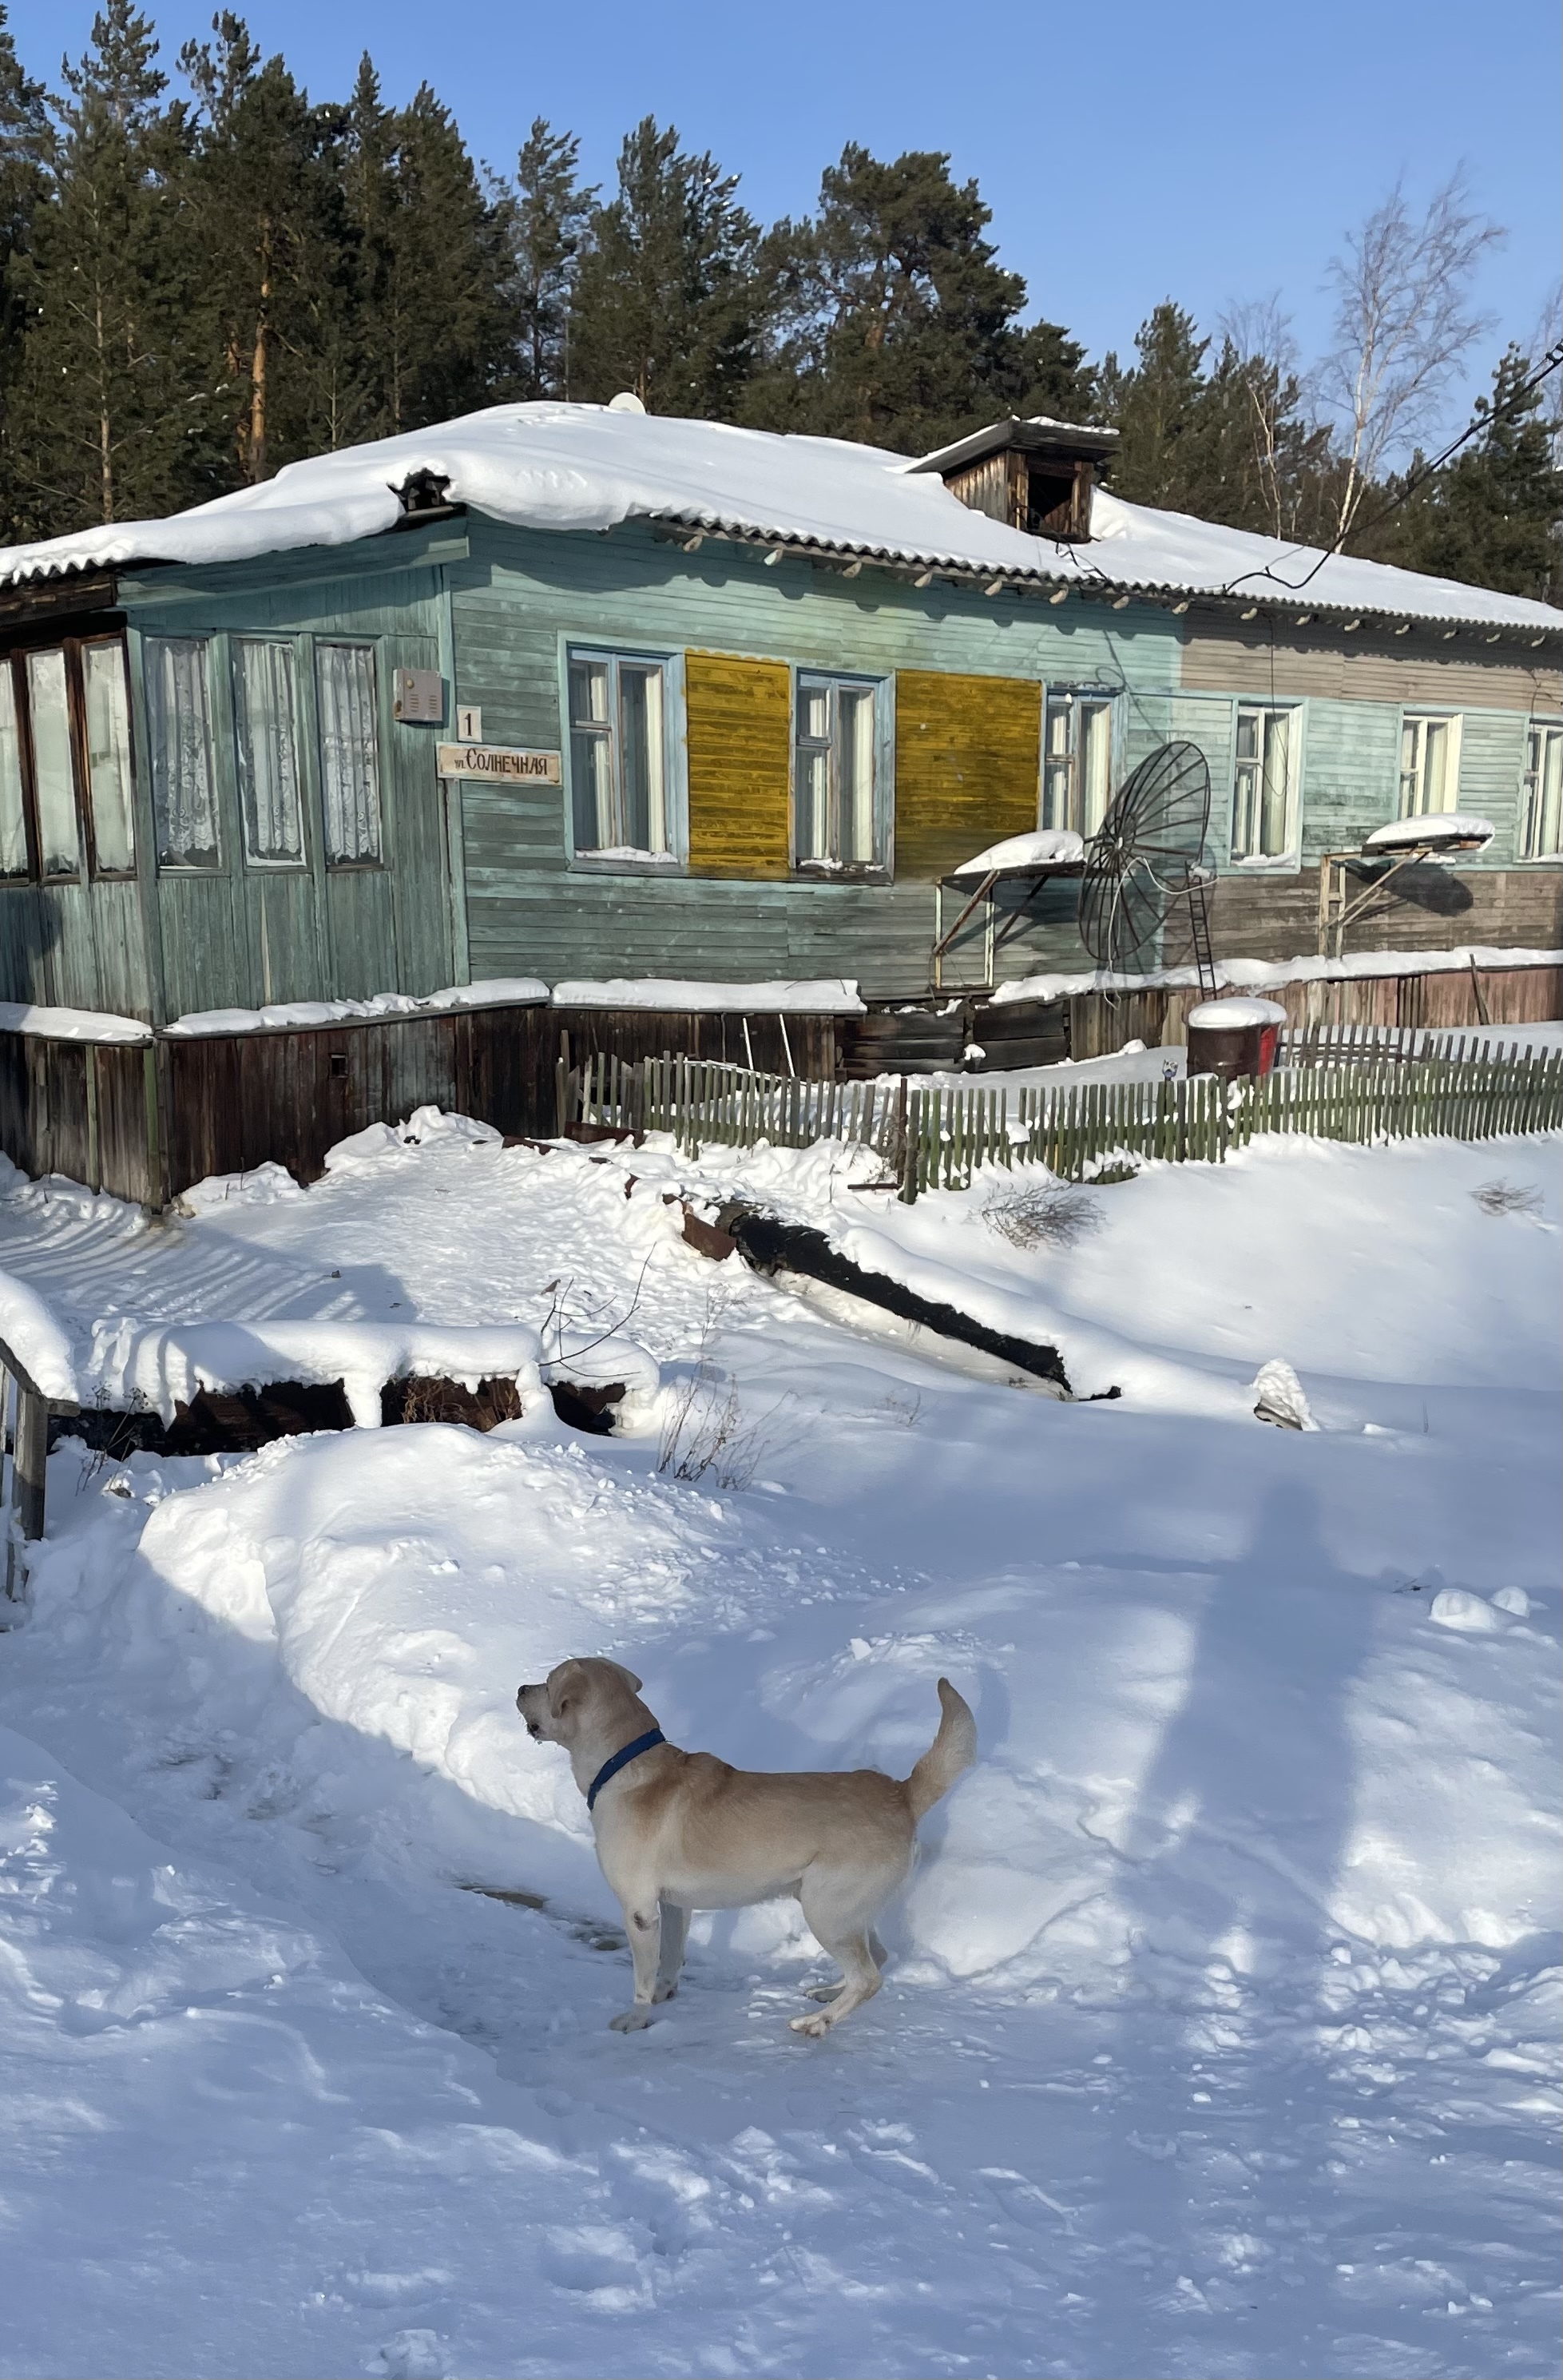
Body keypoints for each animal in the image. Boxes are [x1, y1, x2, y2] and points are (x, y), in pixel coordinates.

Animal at [518, 1666, 970, 2037]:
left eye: (548, 1682)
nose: (521, 1688)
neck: (623, 1762)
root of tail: (901, 1794)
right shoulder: (675, 1905)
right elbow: (670, 1959)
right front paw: (667, 1994)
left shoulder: (640, 1911)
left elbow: (642, 1977)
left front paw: (638, 2018)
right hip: (845, 1911)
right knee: (876, 1957)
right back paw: (830, 1995)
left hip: (826, 1910)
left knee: (869, 1977)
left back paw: (817, 2023)